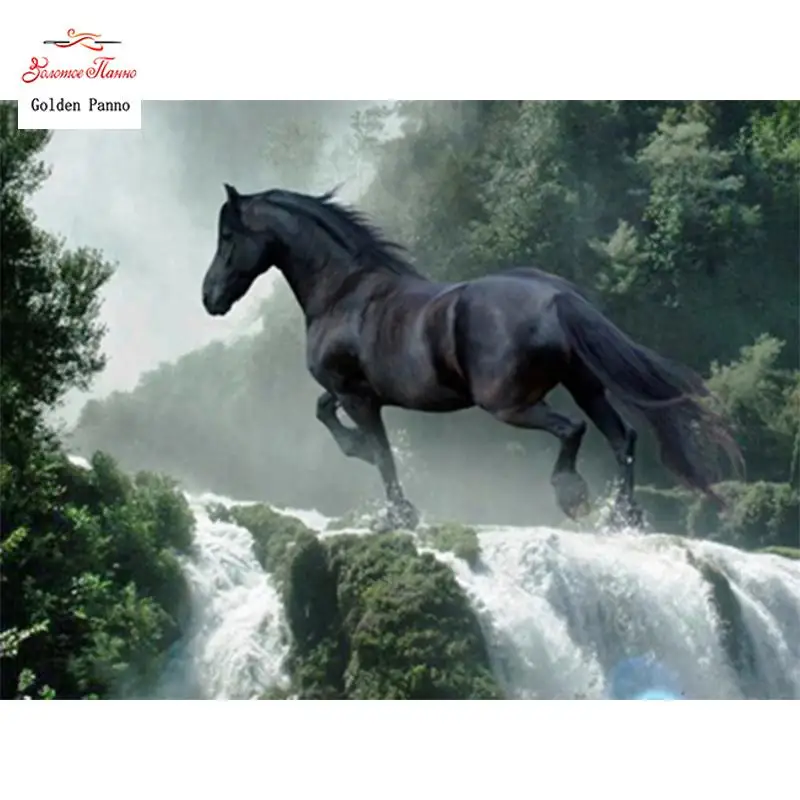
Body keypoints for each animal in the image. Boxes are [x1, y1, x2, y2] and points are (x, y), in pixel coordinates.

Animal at [201, 184, 743, 531]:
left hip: (509, 403)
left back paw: (573, 497)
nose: (209, 297)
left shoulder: (358, 397)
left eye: (228, 237)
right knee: (622, 436)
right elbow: (328, 415)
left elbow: (380, 453)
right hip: (585, 385)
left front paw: (398, 514)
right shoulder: (350, 392)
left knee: (574, 430)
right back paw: (623, 518)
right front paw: (362, 458)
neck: (344, 293)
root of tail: (557, 297)